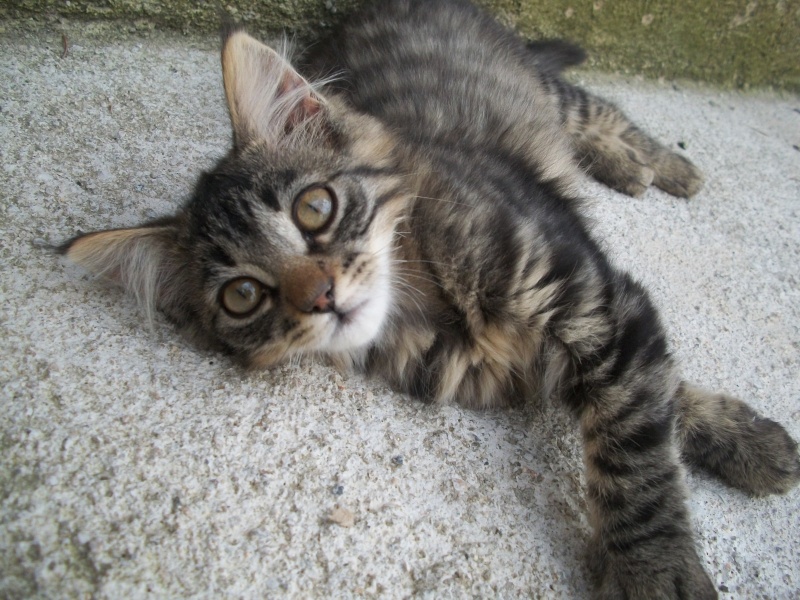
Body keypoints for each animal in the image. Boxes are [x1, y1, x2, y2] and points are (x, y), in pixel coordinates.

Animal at [61, 0, 800, 596]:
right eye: (244, 296)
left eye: (313, 208)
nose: (322, 297)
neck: (427, 302)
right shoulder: (553, 358)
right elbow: (656, 400)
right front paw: (743, 442)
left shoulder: (600, 303)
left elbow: (636, 450)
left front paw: (658, 567)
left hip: (547, 92)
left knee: (601, 109)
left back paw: (655, 164)